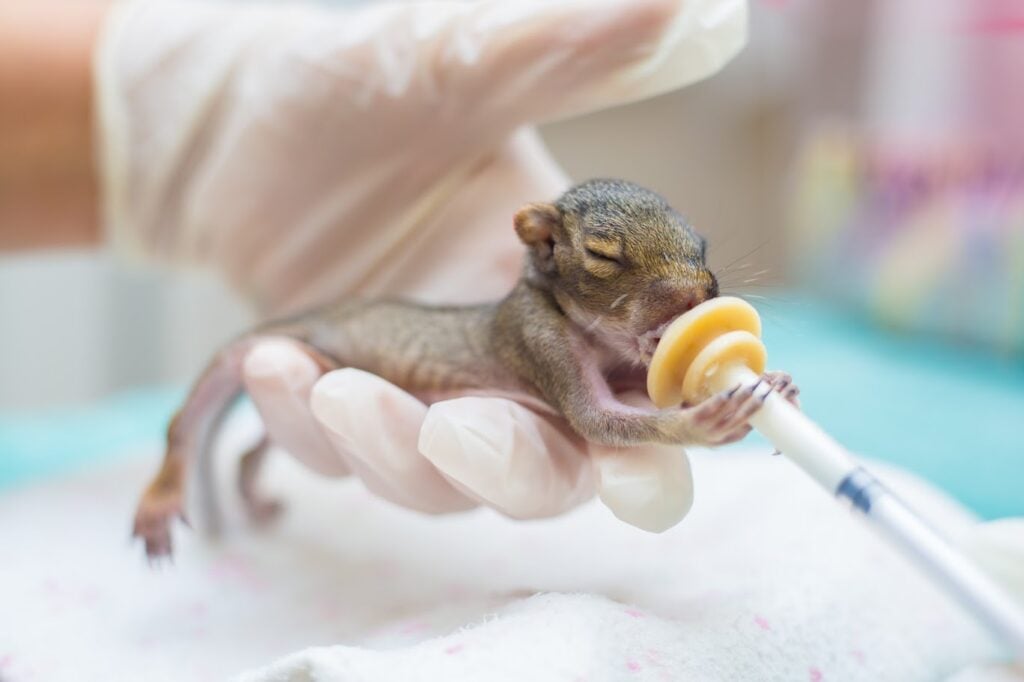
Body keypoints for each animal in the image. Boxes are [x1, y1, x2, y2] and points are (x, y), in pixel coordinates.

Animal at [133, 179, 798, 559]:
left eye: (701, 245)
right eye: (604, 254)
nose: (702, 295)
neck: (596, 337)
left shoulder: (630, 367)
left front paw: (773, 383)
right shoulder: (537, 340)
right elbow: (595, 419)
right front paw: (709, 421)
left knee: (254, 447)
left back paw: (251, 489)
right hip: (246, 356)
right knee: (181, 426)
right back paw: (160, 500)